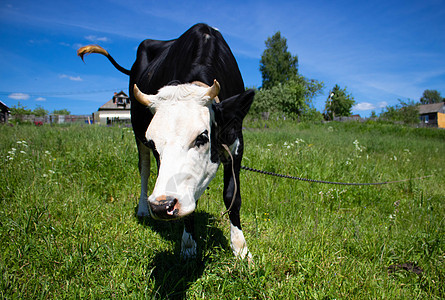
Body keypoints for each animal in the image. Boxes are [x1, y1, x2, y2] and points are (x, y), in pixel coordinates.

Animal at [78, 23, 255, 258]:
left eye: (202, 137)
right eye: (154, 143)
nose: (162, 206)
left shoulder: (236, 144)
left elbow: (232, 196)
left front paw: (241, 249)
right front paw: (188, 244)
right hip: (137, 133)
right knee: (144, 170)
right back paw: (143, 208)